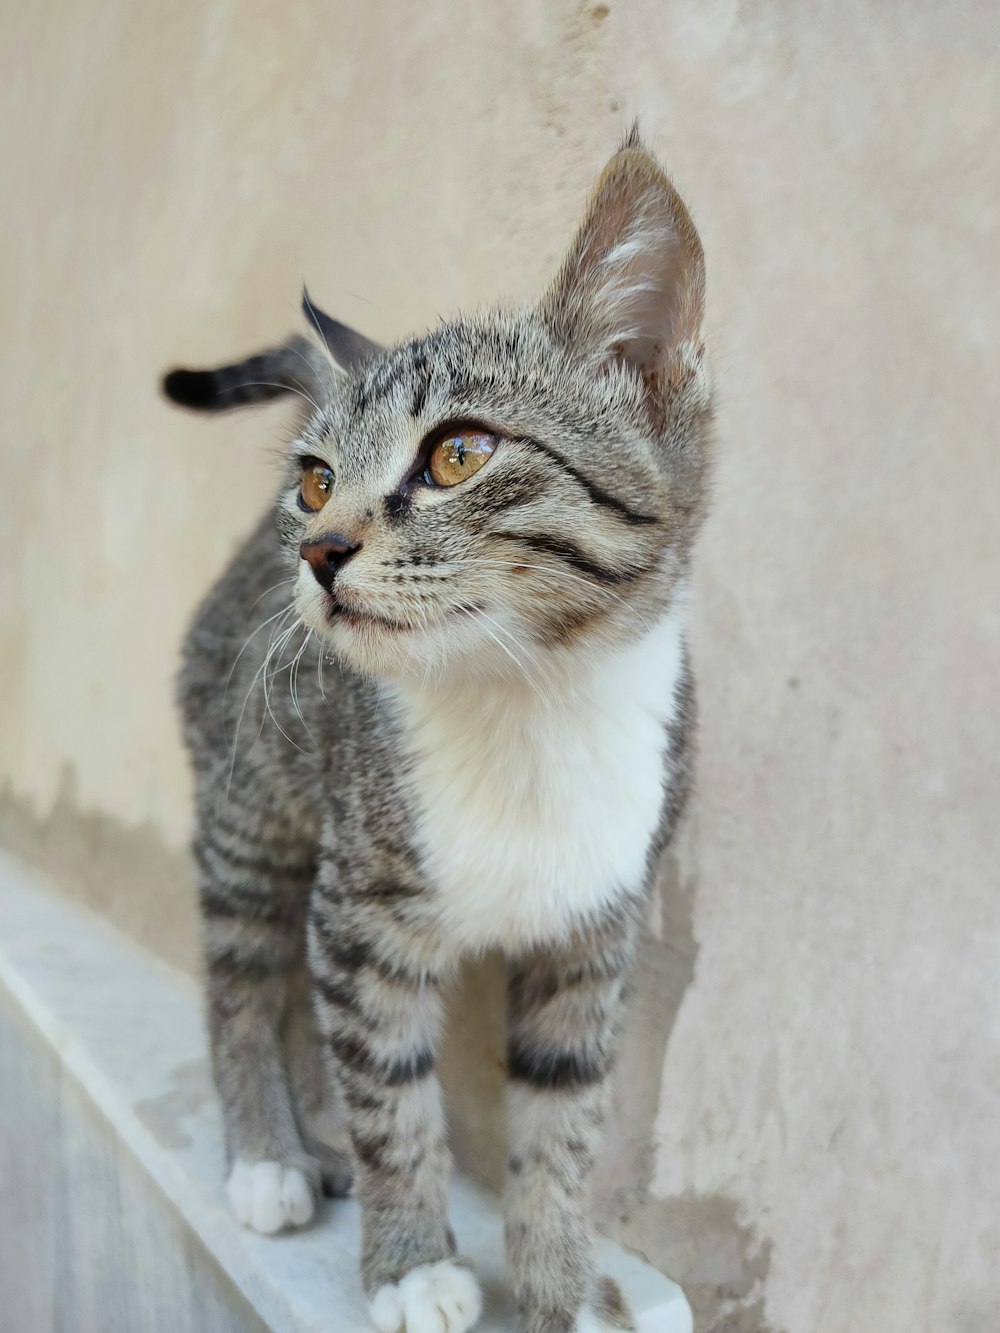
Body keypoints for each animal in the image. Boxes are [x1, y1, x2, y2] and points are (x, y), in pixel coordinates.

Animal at [164, 127, 714, 1333]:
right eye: (317, 478)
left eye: (458, 453)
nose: (318, 547)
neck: (529, 699)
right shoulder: (361, 910)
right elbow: (391, 1094)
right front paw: (411, 1260)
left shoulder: (594, 932)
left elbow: (562, 1124)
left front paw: (562, 1283)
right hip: (254, 798)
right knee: (244, 970)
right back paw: (270, 1154)